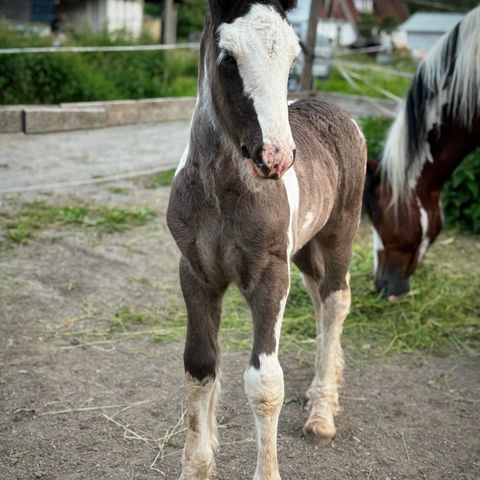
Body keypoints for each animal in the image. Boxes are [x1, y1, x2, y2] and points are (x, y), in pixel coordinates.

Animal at [167, 1, 366, 478]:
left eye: (293, 58)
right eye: (227, 59)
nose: (275, 158)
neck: (222, 193)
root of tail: (337, 110)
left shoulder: (271, 274)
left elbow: (265, 382)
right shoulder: (195, 273)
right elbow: (200, 367)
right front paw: (196, 465)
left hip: (340, 233)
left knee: (336, 300)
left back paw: (322, 414)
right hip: (305, 248)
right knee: (318, 296)